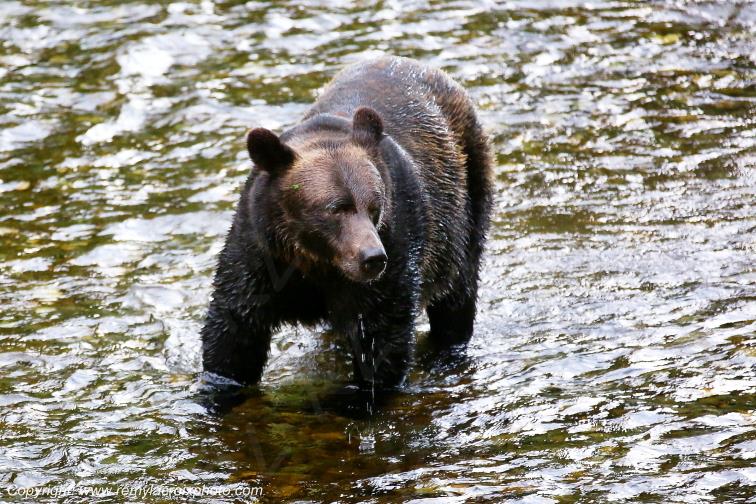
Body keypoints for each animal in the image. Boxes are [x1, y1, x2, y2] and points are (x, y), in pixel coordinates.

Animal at [201, 56, 493, 388]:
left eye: (374, 206)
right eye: (336, 208)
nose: (373, 258)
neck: (316, 262)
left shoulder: (394, 256)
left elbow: (381, 339)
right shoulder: (260, 254)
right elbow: (234, 333)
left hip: (466, 195)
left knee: (458, 290)